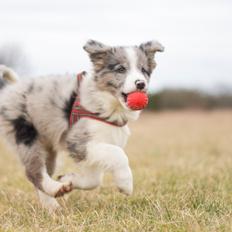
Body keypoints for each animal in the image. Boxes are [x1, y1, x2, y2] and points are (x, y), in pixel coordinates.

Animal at [0, 40, 163, 210]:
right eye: (121, 69)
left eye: (143, 70)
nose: (141, 84)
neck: (109, 105)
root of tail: (12, 87)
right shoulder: (78, 141)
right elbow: (118, 154)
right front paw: (125, 184)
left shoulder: (92, 148)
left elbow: (94, 179)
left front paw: (68, 179)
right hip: (25, 134)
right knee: (33, 172)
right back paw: (55, 190)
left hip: (48, 148)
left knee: (43, 173)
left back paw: (52, 206)